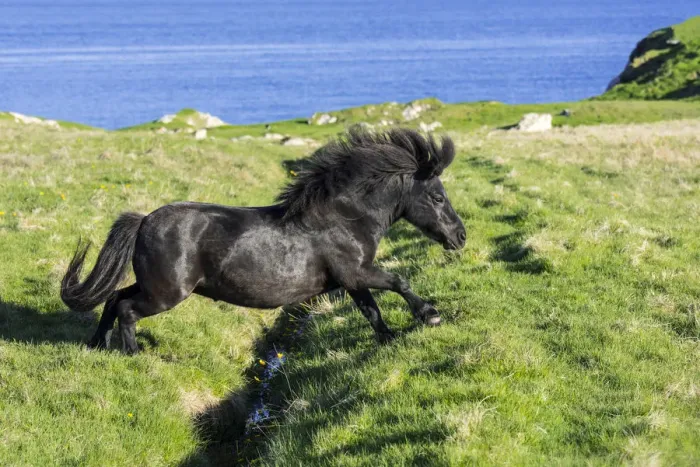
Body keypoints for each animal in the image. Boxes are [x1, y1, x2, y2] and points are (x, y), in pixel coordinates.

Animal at [60, 127, 466, 353]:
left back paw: (97, 345)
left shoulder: (351, 280)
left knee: (114, 298)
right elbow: (399, 281)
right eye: (437, 196)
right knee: (127, 309)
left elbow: (371, 310)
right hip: (166, 293)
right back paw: (132, 354)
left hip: (154, 285)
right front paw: (430, 315)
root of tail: (144, 220)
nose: (460, 237)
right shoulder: (357, 272)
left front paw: (388, 338)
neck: (343, 219)